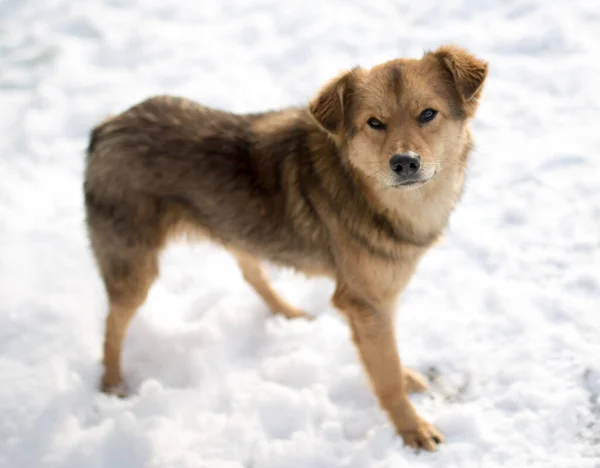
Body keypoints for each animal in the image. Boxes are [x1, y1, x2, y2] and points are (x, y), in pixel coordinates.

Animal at [84, 45, 488, 452]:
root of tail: (106, 128)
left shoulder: (376, 303)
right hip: (135, 270)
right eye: (375, 123)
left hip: (236, 229)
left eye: (427, 114)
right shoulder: (365, 302)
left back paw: (289, 314)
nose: (404, 163)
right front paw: (412, 430)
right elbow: (385, 375)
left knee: (251, 273)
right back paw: (113, 384)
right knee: (112, 324)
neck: (366, 189)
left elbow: (387, 358)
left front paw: (406, 383)